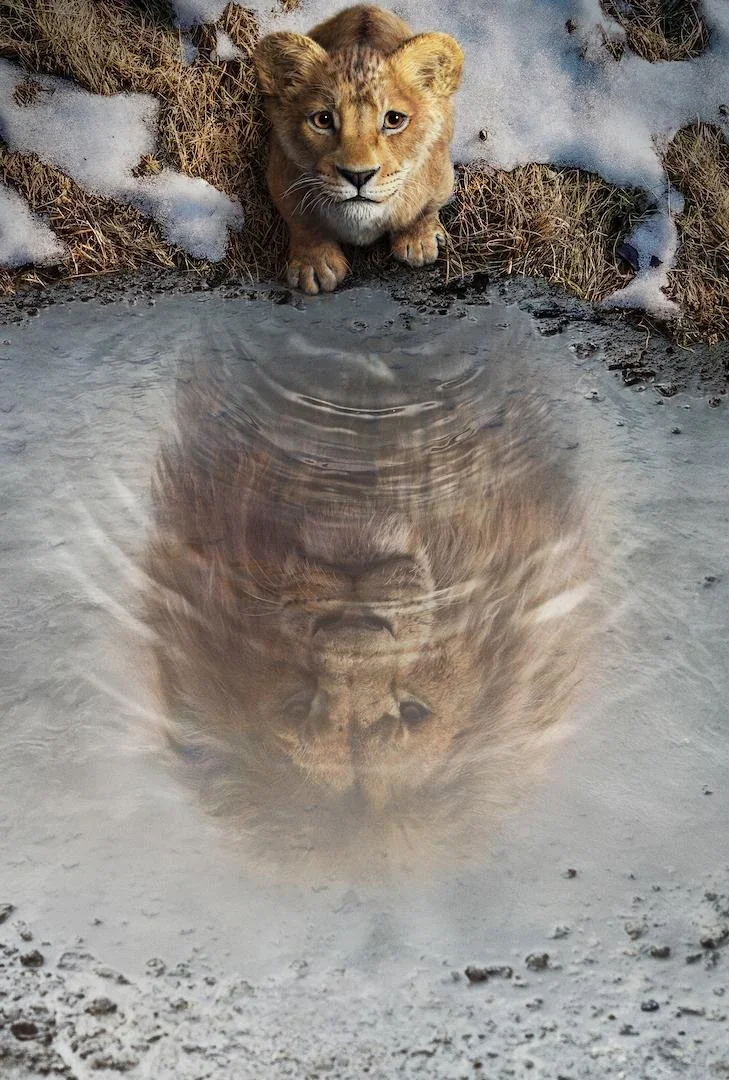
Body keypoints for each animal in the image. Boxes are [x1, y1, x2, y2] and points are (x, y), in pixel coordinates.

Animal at [253, 5, 464, 294]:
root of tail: (365, 7)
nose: (358, 176)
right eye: (323, 120)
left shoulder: (441, 174)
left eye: (394, 120)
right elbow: (303, 221)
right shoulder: (281, 174)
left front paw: (418, 242)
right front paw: (314, 265)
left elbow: (425, 209)